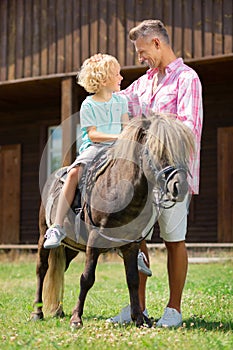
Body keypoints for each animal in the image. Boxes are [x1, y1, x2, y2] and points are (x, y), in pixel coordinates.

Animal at [31, 114, 195, 328]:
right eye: (155, 149)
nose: (180, 187)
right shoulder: (94, 241)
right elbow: (86, 278)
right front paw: (76, 319)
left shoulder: (131, 245)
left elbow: (133, 279)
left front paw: (139, 318)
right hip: (43, 235)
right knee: (42, 269)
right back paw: (37, 312)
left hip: (71, 247)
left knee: (60, 269)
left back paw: (58, 310)